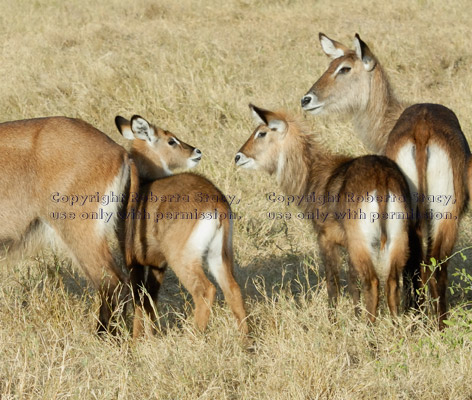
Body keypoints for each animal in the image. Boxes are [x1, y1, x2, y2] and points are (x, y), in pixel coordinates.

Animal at [115, 115, 247, 338]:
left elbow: (139, 299)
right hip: (218, 255)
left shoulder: (133, 261)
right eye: (171, 141)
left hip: (183, 258)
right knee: (233, 289)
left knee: (206, 290)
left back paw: (195, 336)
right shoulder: (158, 264)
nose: (197, 152)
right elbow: (150, 299)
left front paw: (136, 339)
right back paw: (246, 340)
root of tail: (216, 200)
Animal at [236, 104, 412, 322]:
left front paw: (333, 320)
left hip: (362, 242)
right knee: (392, 281)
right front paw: (354, 316)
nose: (238, 156)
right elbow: (352, 282)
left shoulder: (326, 238)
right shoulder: (346, 245)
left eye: (262, 132)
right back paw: (396, 325)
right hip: (397, 238)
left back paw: (370, 328)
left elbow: (333, 281)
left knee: (372, 282)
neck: (315, 174)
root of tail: (381, 177)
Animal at [300, 33, 470, 328]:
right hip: (444, 215)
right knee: (432, 264)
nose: (306, 99)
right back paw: (435, 323)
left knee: (422, 265)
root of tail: (422, 131)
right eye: (331, 64)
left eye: (344, 68)